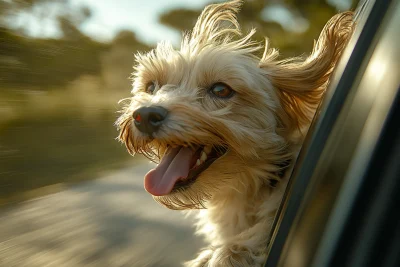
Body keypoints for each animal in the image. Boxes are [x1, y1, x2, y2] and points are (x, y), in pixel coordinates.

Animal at [115, 1, 354, 266]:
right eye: (151, 87)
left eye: (221, 90)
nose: (144, 116)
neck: (254, 183)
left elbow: (244, 241)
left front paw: (226, 253)